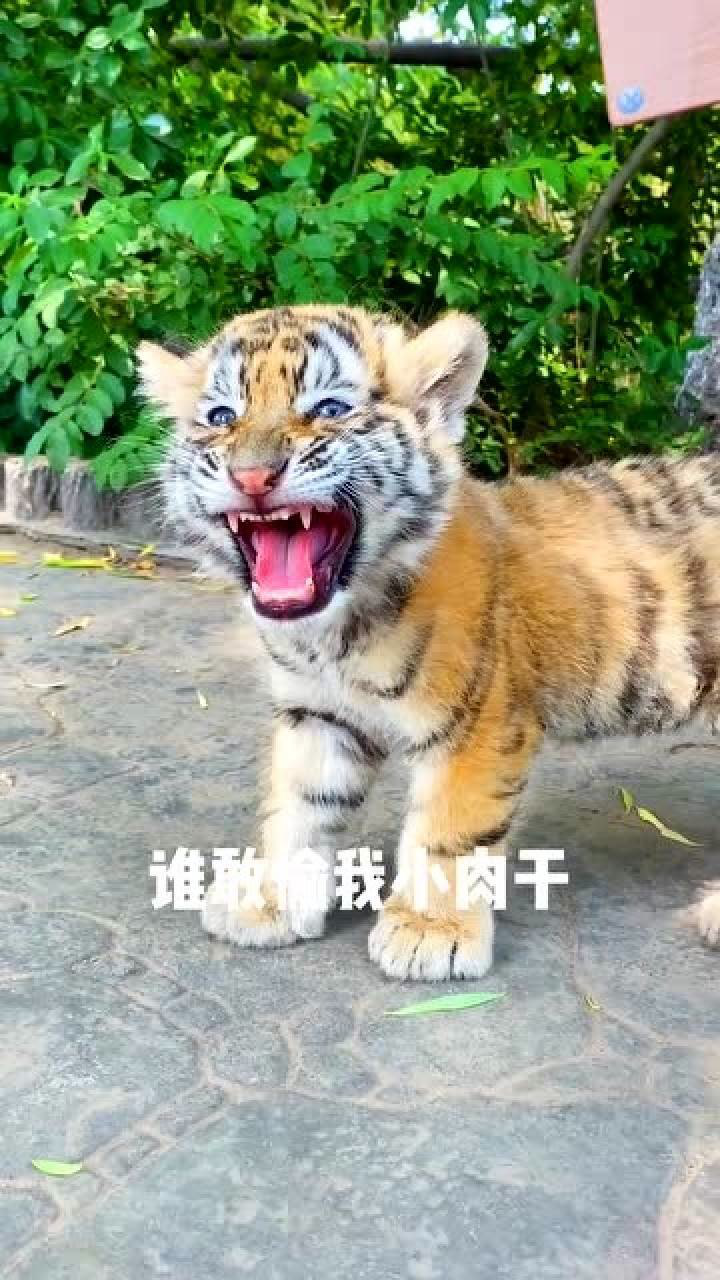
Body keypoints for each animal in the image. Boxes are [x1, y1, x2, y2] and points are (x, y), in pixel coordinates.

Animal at [137, 304, 720, 981]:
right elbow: (301, 805)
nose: (252, 475)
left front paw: (428, 932)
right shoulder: (318, 712)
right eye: (221, 418)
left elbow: (450, 829)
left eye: (330, 408)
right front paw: (272, 902)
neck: (334, 632)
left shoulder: (475, 722)